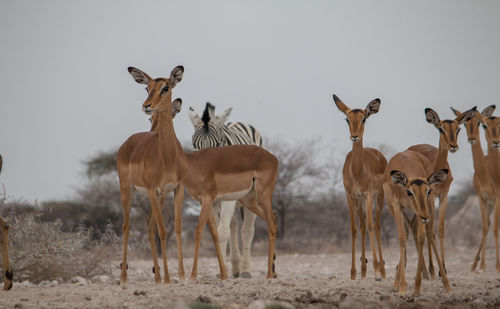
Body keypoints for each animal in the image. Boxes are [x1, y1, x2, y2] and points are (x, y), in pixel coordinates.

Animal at [188, 102, 262, 278]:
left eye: (217, 144)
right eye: (194, 145)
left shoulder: (228, 200)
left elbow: (222, 233)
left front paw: (223, 273)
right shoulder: (210, 201)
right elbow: (217, 232)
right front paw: (220, 272)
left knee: (247, 231)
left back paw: (246, 271)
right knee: (233, 227)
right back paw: (235, 268)